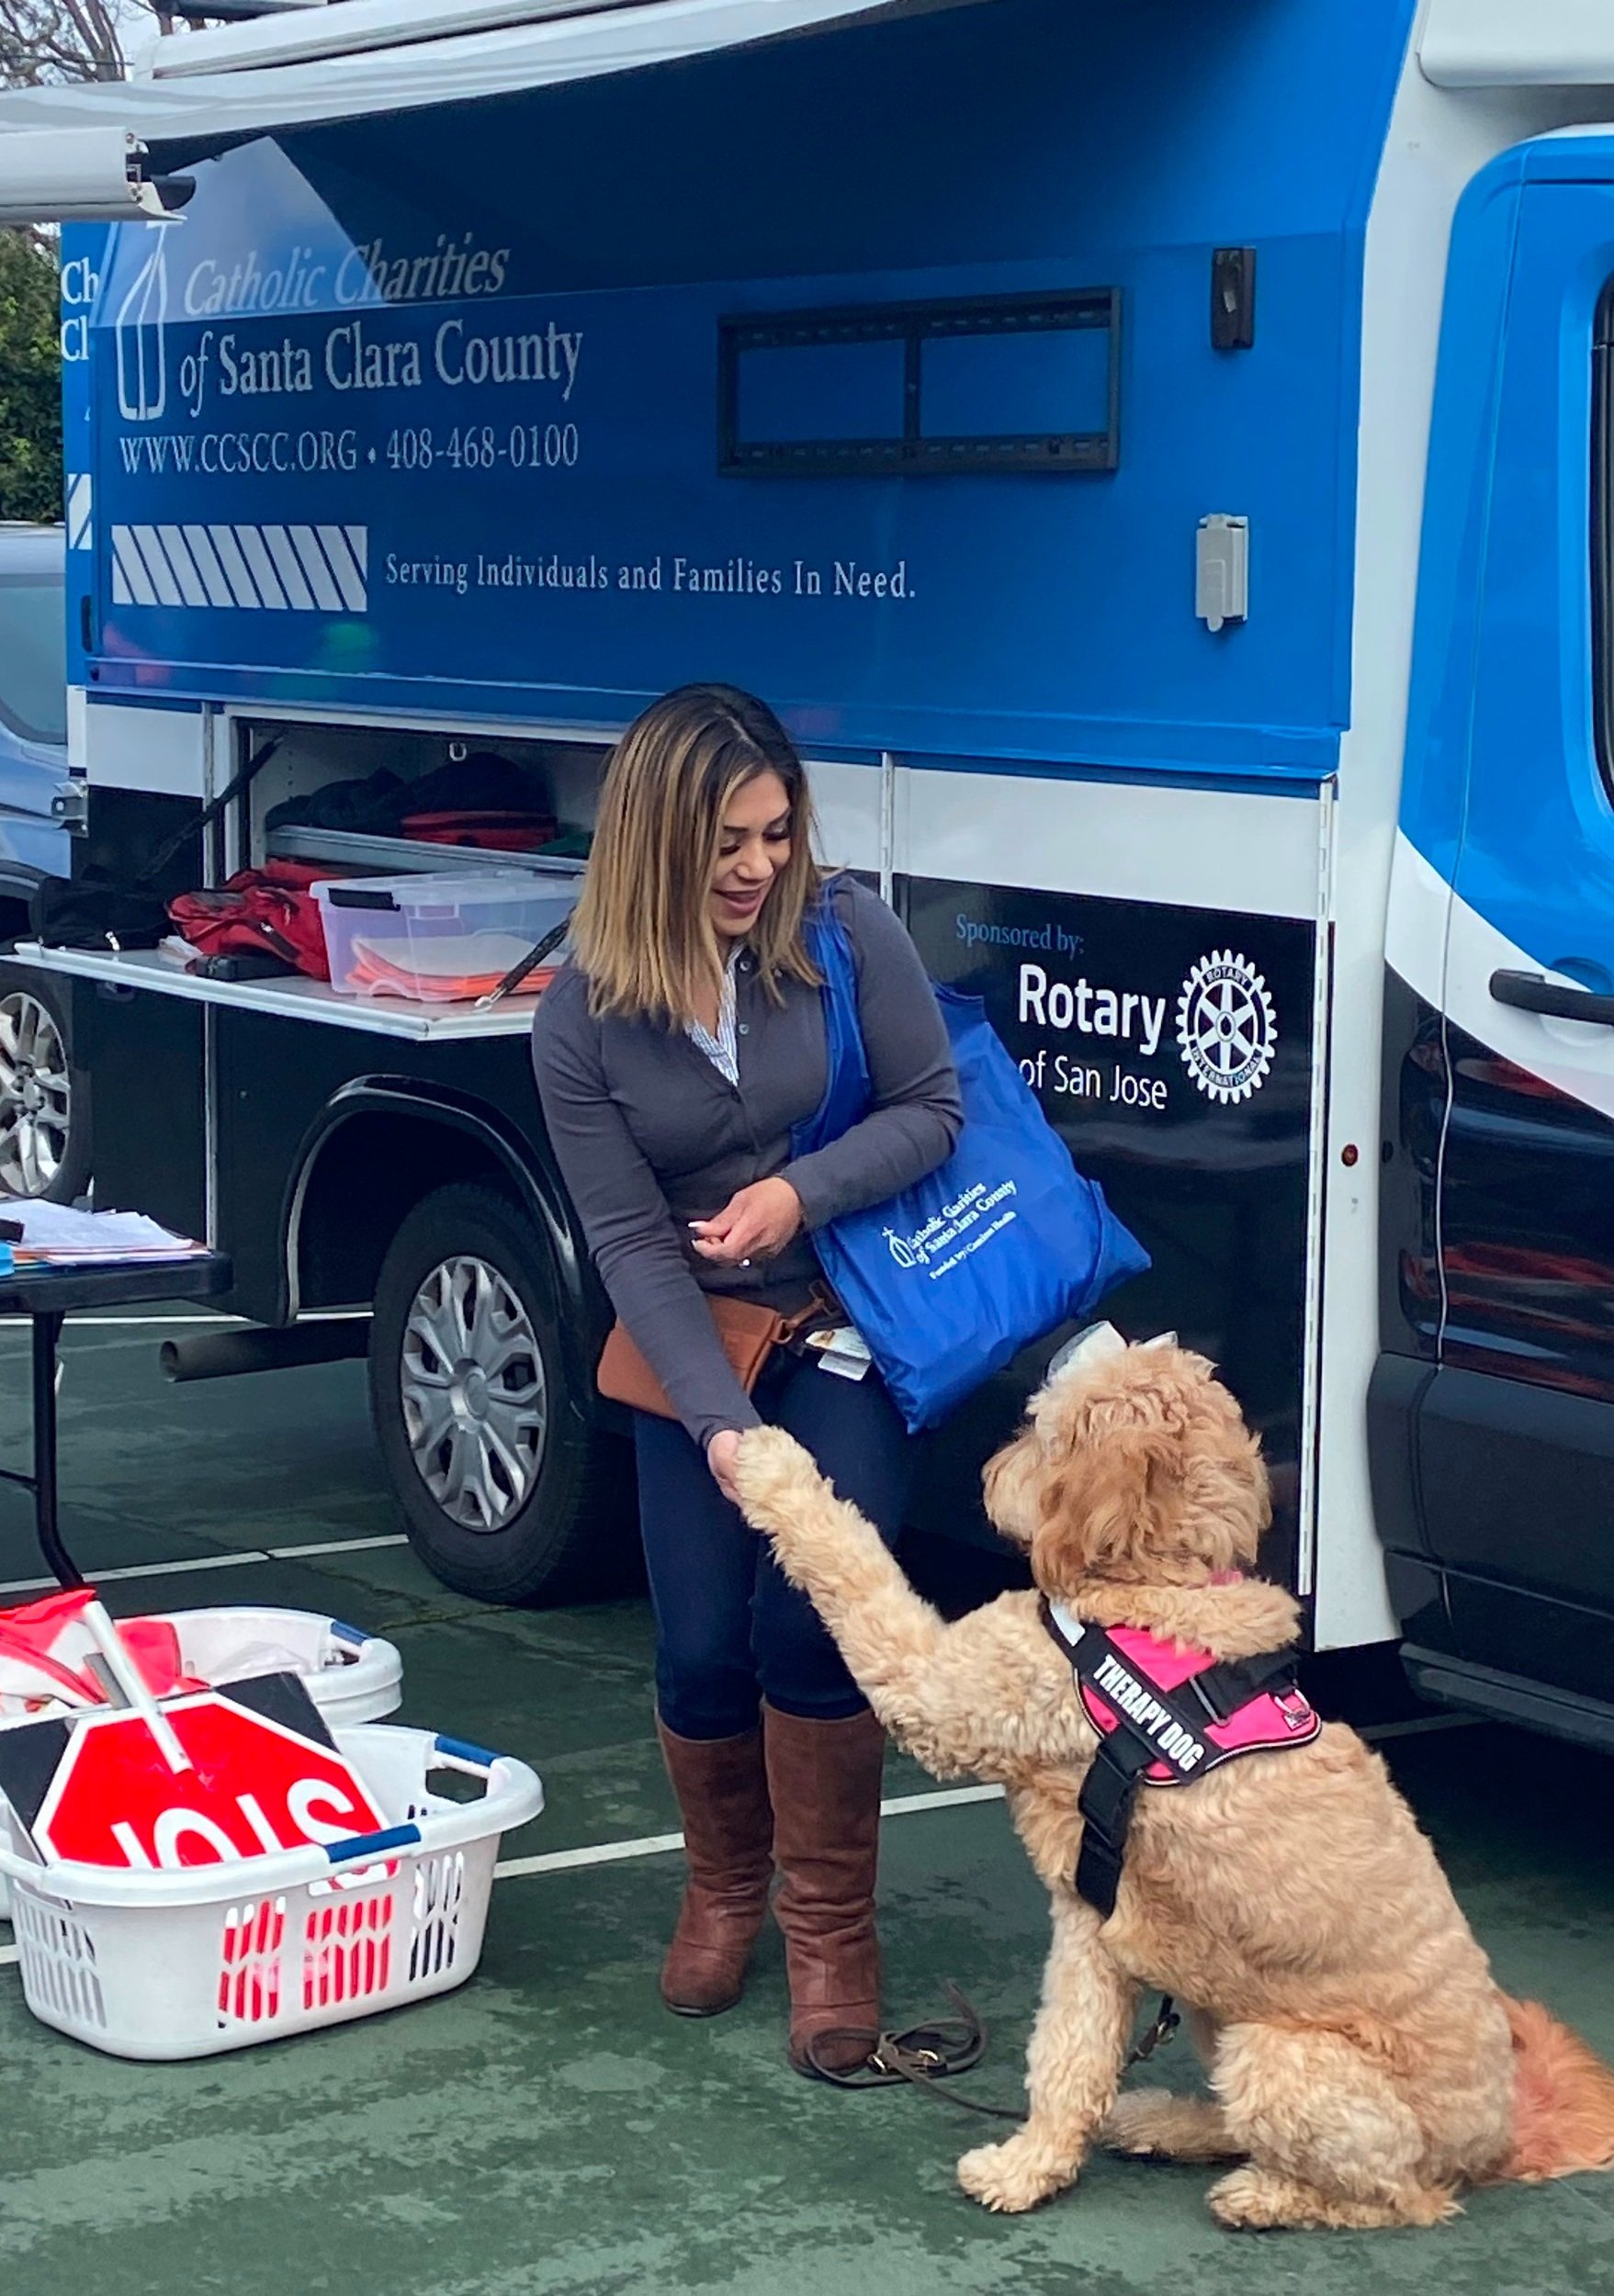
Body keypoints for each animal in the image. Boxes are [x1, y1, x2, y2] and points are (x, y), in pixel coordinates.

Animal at [734, 1341, 1614, 2232]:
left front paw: (769, 1461)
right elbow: (1070, 2057)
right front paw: (1035, 2166)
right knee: (1238, 2122)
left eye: (1039, 1432)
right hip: (1221, 2008)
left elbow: (853, 1561)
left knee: (1394, 2197)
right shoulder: (1091, 1927)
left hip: (1280, 2054)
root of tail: (1498, 2139)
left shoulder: (937, 1692)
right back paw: (1162, 2122)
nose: (983, 1472)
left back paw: (1264, 2195)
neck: (1160, 1588)